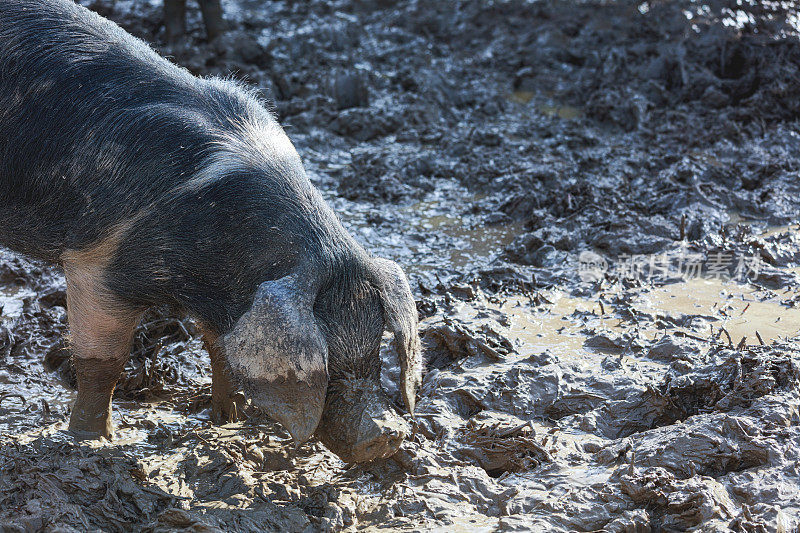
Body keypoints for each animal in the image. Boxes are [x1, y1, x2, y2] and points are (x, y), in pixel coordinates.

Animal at [0, 0, 422, 464]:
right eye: (331, 367)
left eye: (377, 350)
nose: (386, 434)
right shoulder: (96, 265)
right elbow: (102, 362)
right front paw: (93, 440)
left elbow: (221, 351)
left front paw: (229, 420)